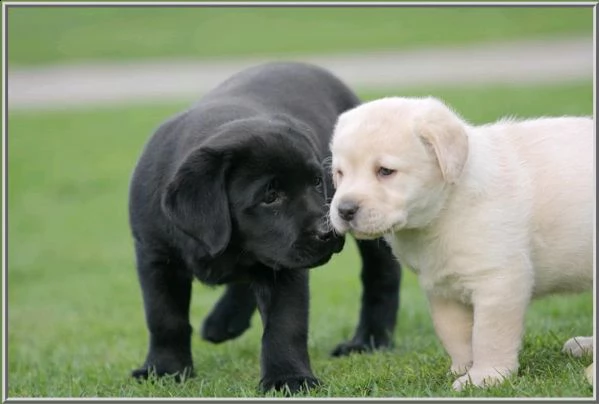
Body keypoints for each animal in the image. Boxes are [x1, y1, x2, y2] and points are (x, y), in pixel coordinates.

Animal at [131, 61, 404, 392]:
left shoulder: (285, 270)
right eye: (270, 197)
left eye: (317, 182)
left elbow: (285, 324)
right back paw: (224, 322)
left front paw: (288, 378)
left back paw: (368, 342)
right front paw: (164, 370)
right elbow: (165, 318)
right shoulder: (156, 257)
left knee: (381, 275)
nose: (328, 233)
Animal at [330, 96, 592, 390]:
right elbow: (455, 334)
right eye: (339, 173)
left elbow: (489, 335)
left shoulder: (499, 282)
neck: (447, 205)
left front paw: (486, 376)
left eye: (385, 171)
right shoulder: (442, 289)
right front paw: (462, 369)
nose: (344, 209)